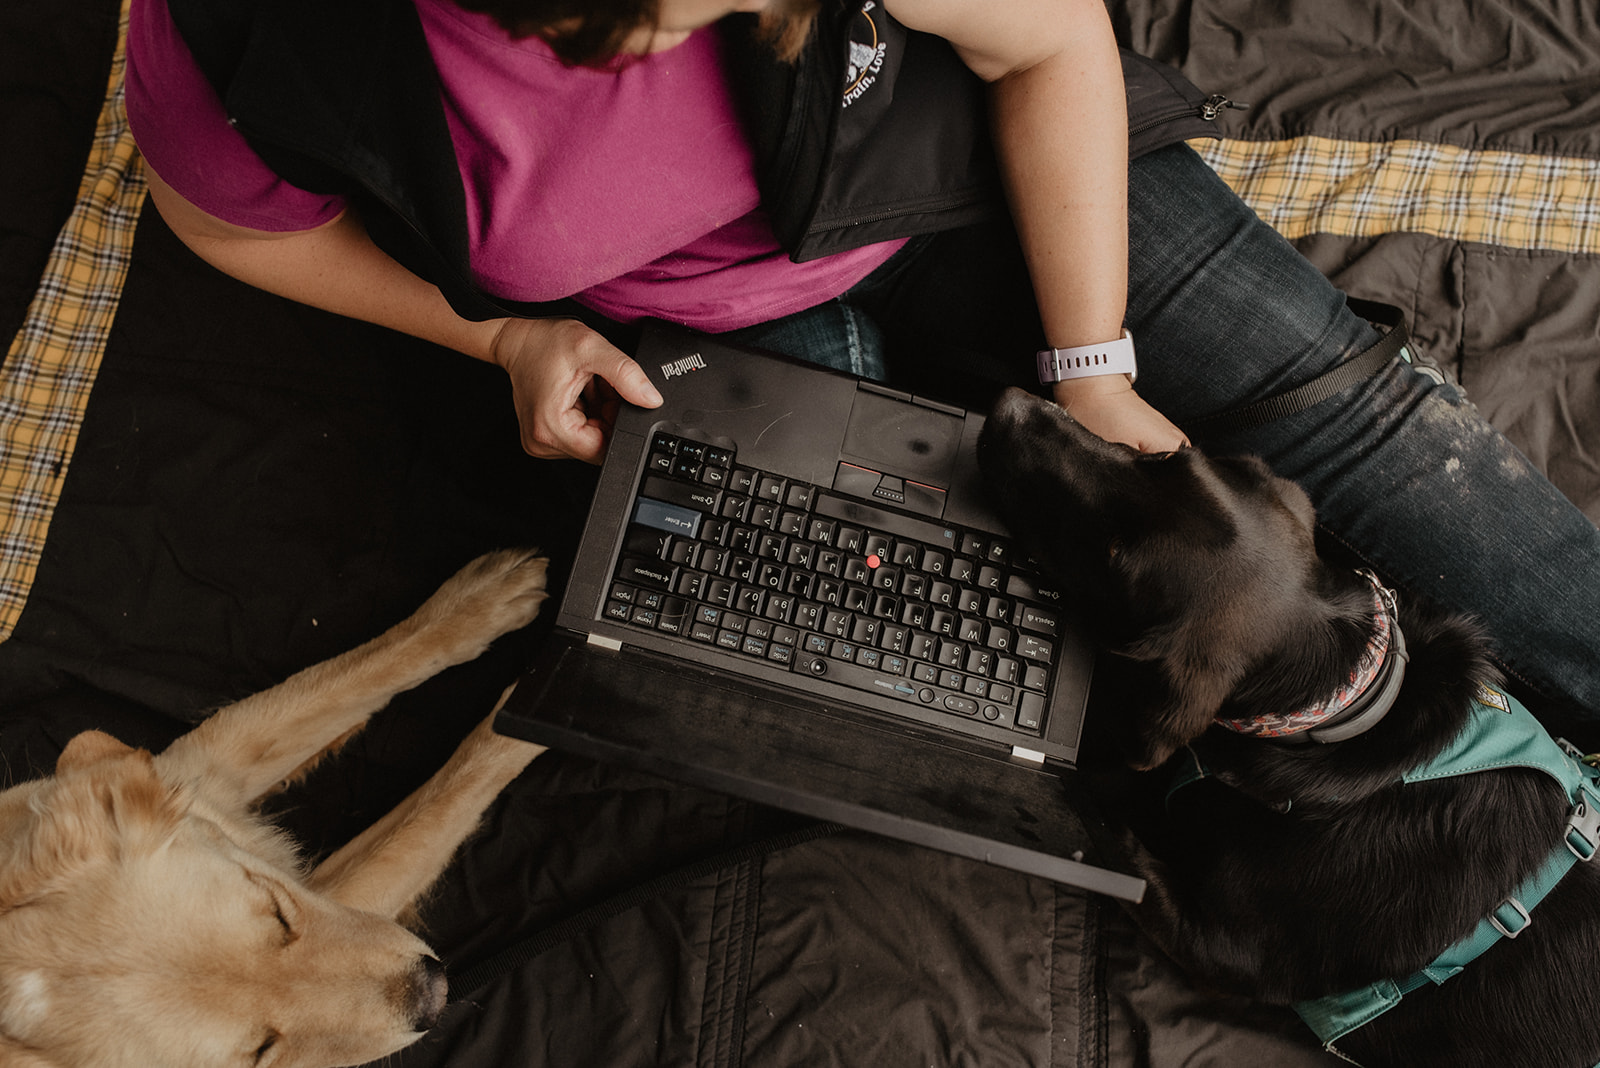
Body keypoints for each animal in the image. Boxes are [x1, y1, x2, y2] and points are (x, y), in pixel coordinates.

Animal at [0, 549, 550, 1068]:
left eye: (277, 913)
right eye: (262, 1051)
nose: (434, 993)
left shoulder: (204, 769)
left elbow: (350, 672)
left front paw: (489, 602)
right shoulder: (344, 894)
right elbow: (440, 805)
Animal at [972, 390, 1600, 1068]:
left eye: (1112, 556)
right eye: (1163, 458)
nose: (1010, 405)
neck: (1345, 712)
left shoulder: (1215, 943)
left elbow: (1103, 816)